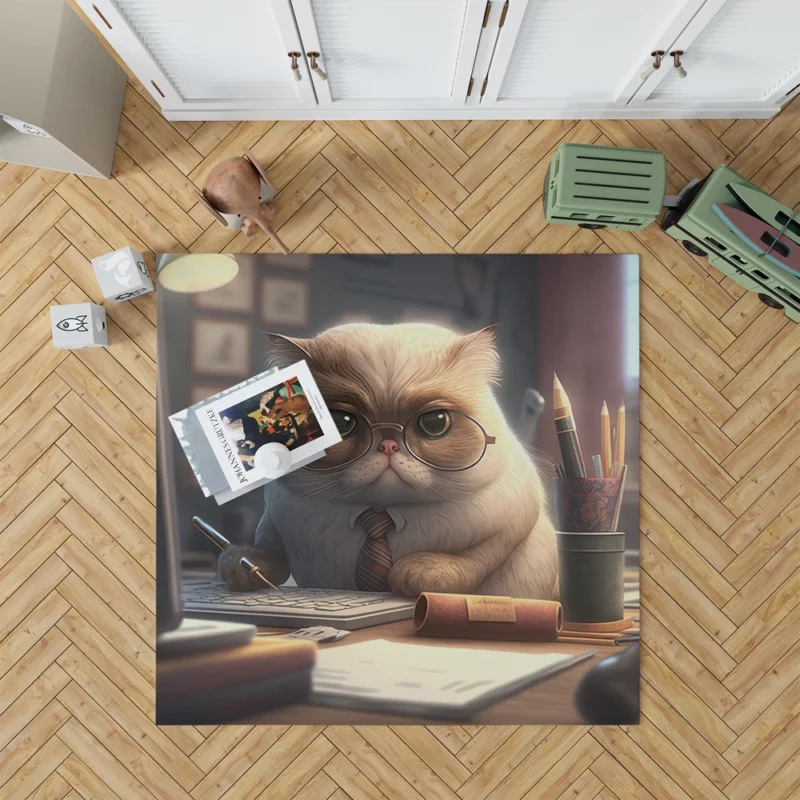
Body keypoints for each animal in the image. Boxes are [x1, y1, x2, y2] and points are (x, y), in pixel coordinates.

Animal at [216, 322, 560, 596]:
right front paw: (242, 566)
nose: (389, 446)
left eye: (434, 423)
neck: (380, 513)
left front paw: (416, 572)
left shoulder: (513, 522)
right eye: (341, 423)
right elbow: (266, 552)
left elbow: (476, 558)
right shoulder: (276, 520)